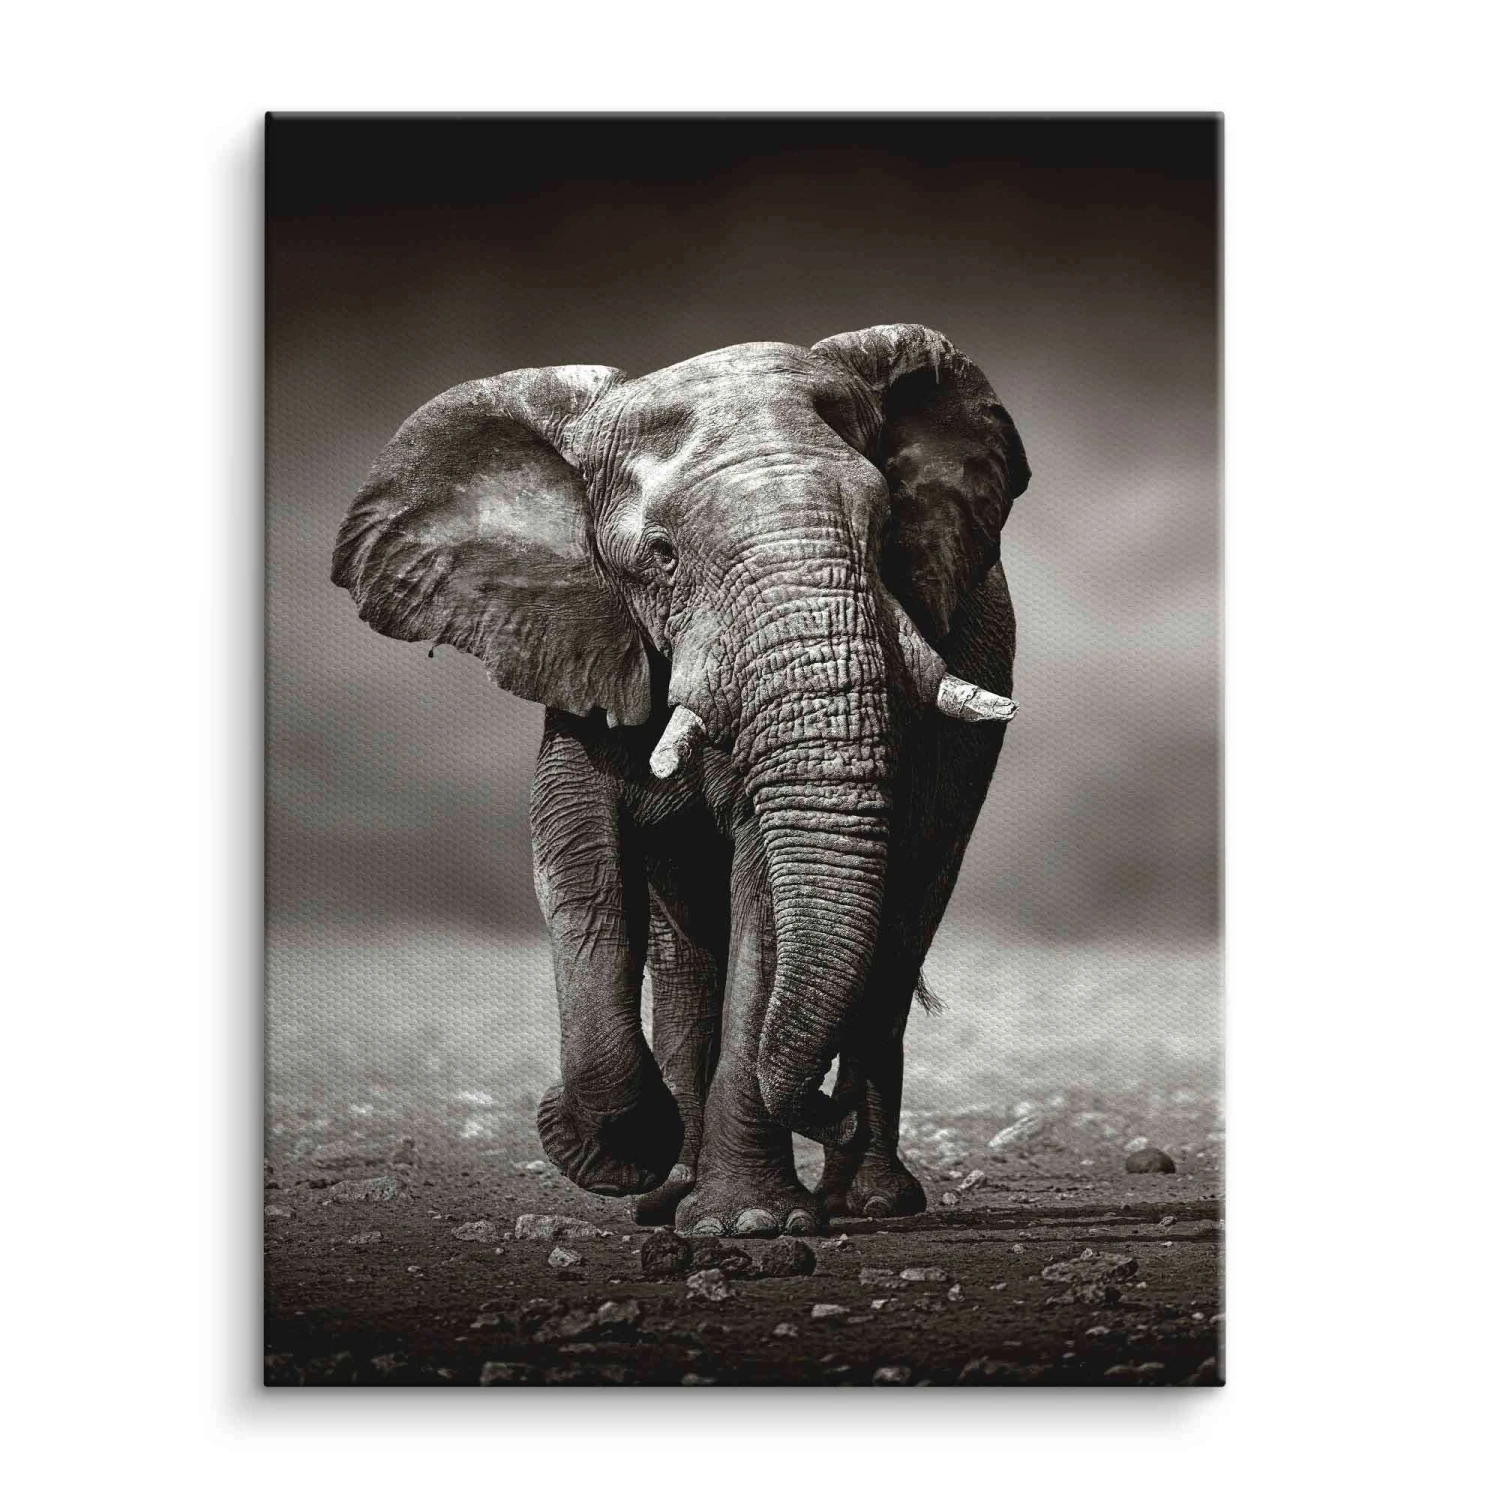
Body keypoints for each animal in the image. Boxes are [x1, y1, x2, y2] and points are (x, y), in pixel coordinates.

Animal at [332, 323, 1029, 1238]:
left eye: (884, 536)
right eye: (660, 558)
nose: (829, 1114)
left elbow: (763, 895)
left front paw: (748, 1225)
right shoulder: (583, 644)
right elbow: (577, 863)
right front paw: (616, 1154)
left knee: (901, 924)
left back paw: (870, 1202)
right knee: (690, 956)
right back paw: (673, 1195)